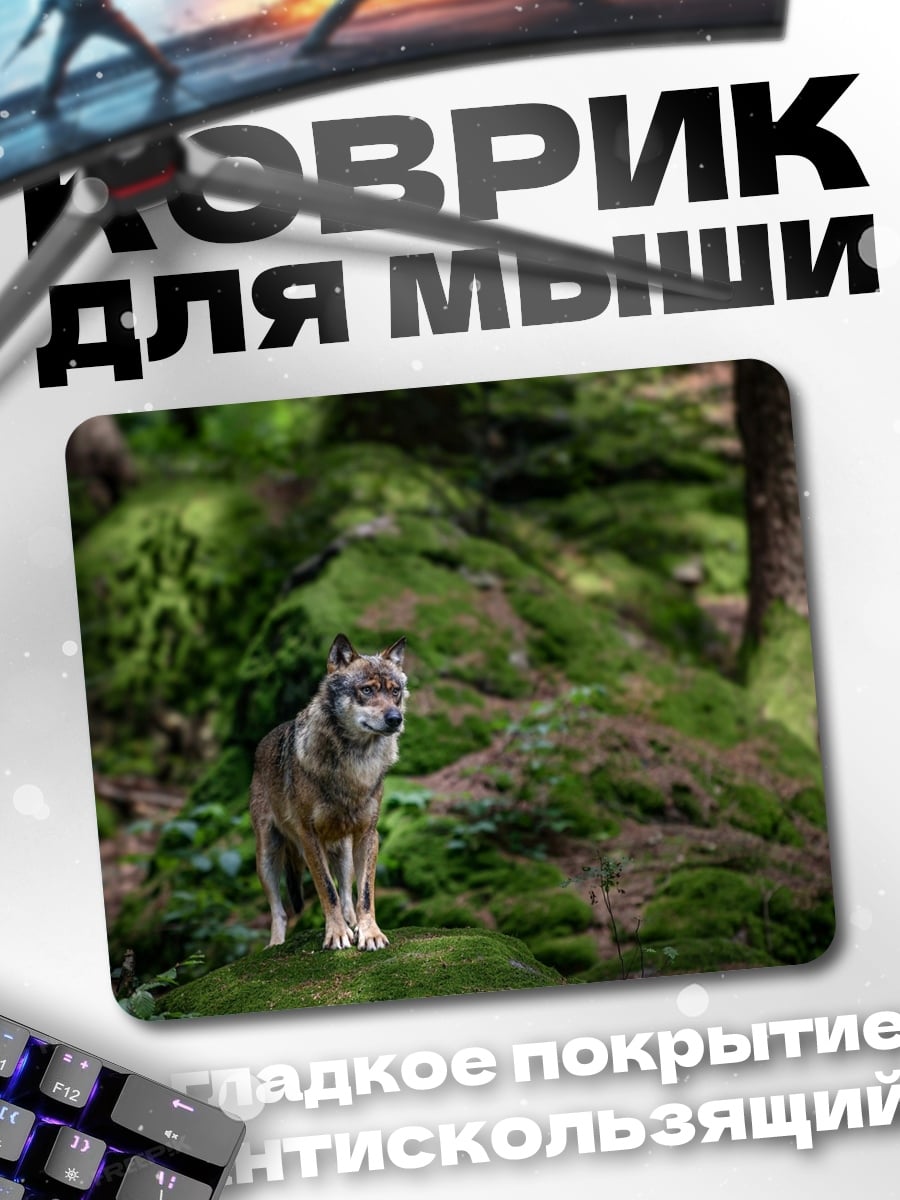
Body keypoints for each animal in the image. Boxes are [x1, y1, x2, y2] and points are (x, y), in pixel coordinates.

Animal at [250, 633, 407, 951]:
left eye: (395, 691)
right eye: (367, 690)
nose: (395, 718)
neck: (355, 764)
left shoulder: (368, 835)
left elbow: (365, 894)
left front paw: (369, 933)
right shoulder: (309, 837)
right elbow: (327, 890)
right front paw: (336, 935)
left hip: (342, 852)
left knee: (347, 894)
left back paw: (353, 924)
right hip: (267, 856)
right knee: (280, 910)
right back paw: (275, 944)